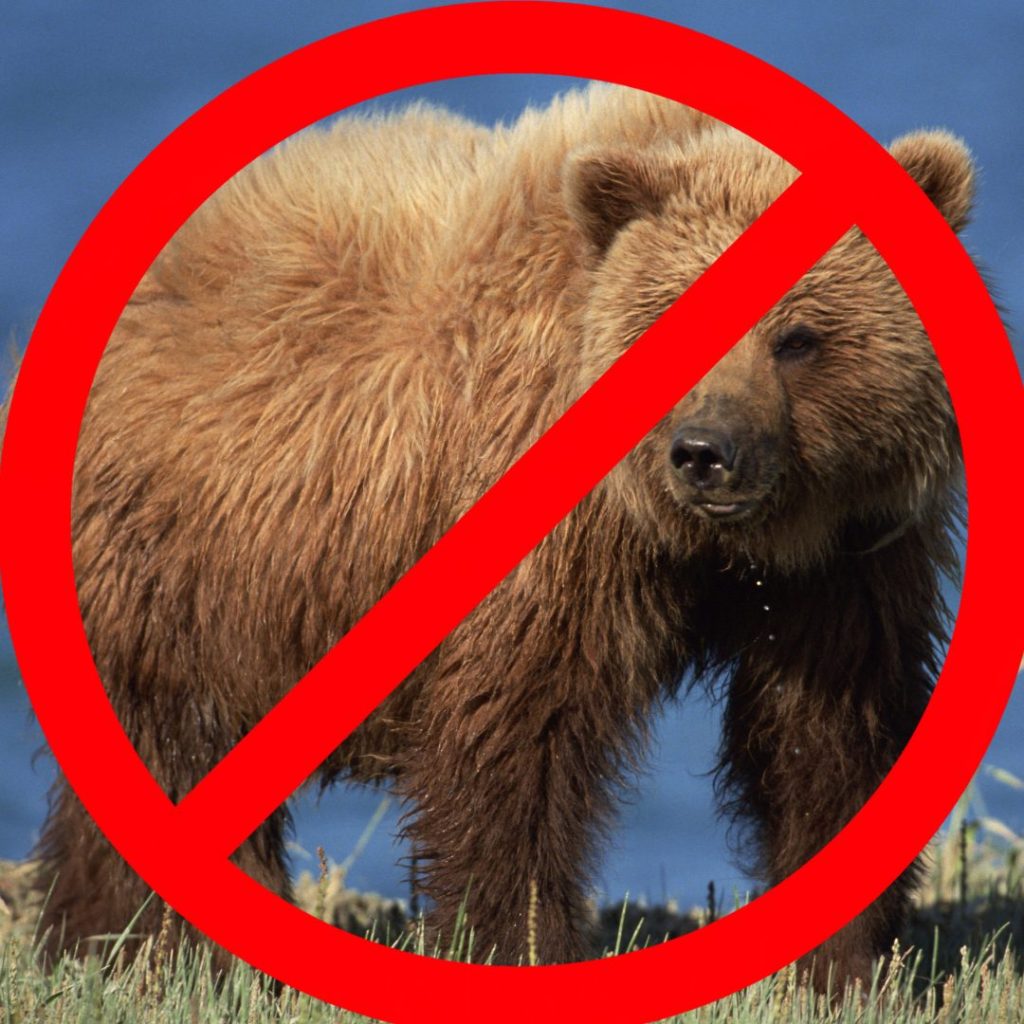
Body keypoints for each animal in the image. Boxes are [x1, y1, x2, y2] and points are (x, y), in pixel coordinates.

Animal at [31, 83, 972, 988]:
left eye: (798, 336)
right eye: (669, 314)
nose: (706, 453)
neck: (703, 544)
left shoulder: (852, 549)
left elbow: (828, 735)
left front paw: (845, 962)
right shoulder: (542, 530)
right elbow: (518, 740)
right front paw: (520, 946)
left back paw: (97, 936)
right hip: (190, 552)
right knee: (178, 747)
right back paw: (175, 945)